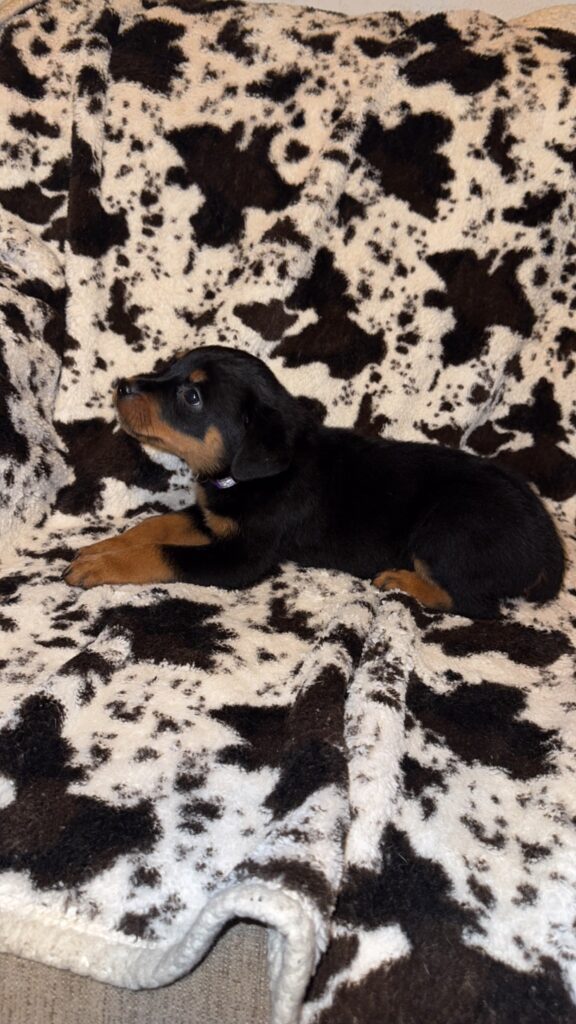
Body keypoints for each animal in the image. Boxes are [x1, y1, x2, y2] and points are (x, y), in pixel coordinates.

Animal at [65, 345, 564, 618]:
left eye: (191, 397)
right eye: (169, 367)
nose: (122, 385)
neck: (241, 478)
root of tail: (550, 548)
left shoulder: (243, 558)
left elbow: (162, 552)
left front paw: (101, 565)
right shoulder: (213, 518)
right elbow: (153, 526)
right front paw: (101, 547)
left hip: (447, 533)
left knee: (473, 604)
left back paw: (402, 581)